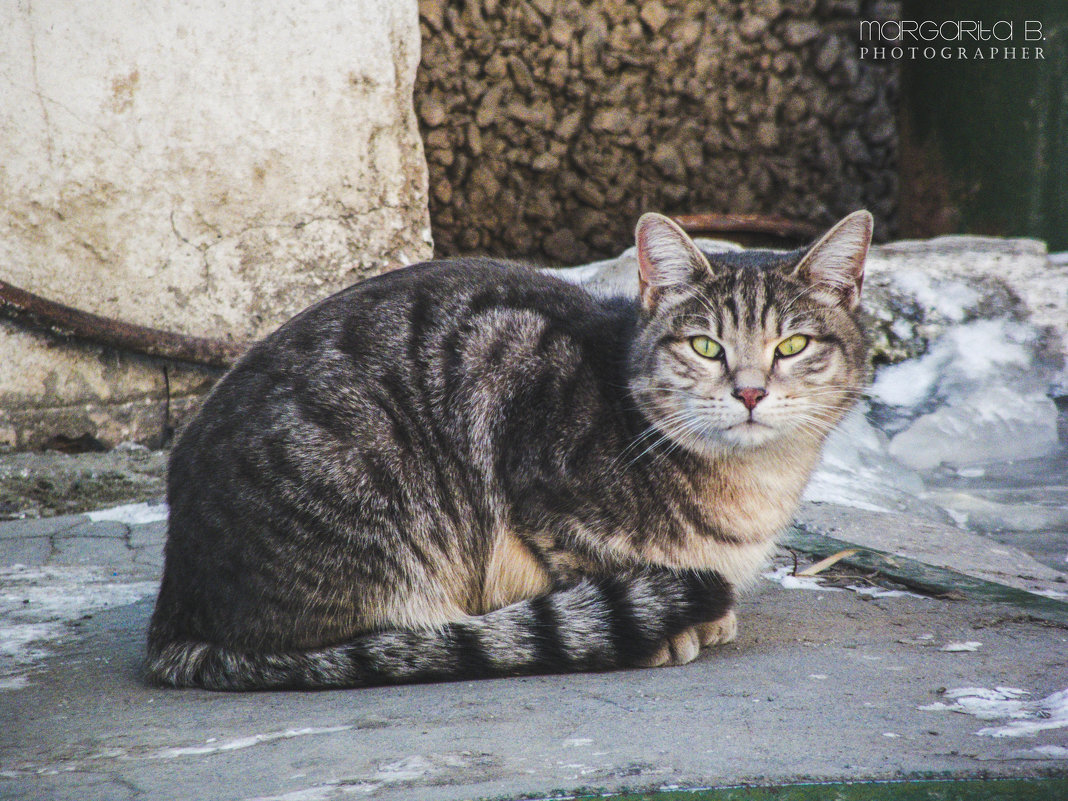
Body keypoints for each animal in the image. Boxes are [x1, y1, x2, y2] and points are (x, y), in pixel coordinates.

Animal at [146, 211, 871, 692]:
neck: (754, 486)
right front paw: (671, 626)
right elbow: (586, 562)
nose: (749, 391)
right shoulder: (535, 470)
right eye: (705, 347)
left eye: (792, 346)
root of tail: (175, 612)